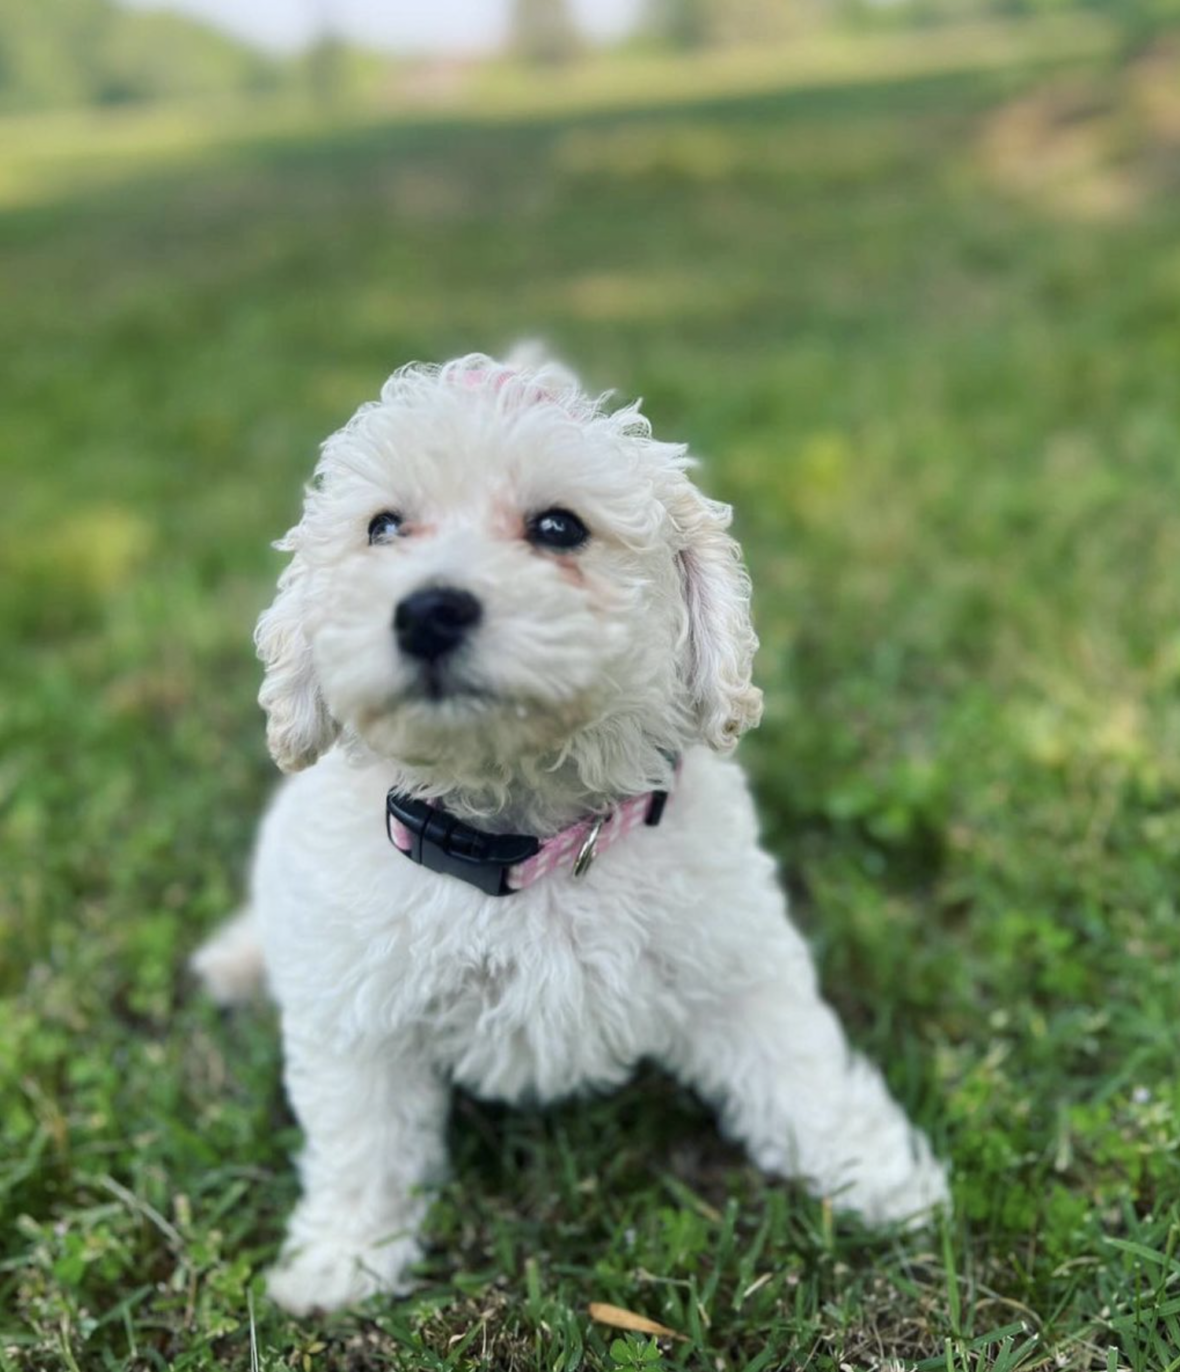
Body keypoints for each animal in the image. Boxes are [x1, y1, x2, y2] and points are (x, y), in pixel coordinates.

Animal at [193, 348, 949, 1311]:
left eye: (559, 527)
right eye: (382, 527)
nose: (428, 611)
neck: (528, 844)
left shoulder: (737, 962)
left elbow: (804, 1071)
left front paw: (886, 1181)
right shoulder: (358, 1018)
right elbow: (365, 1145)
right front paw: (344, 1261)